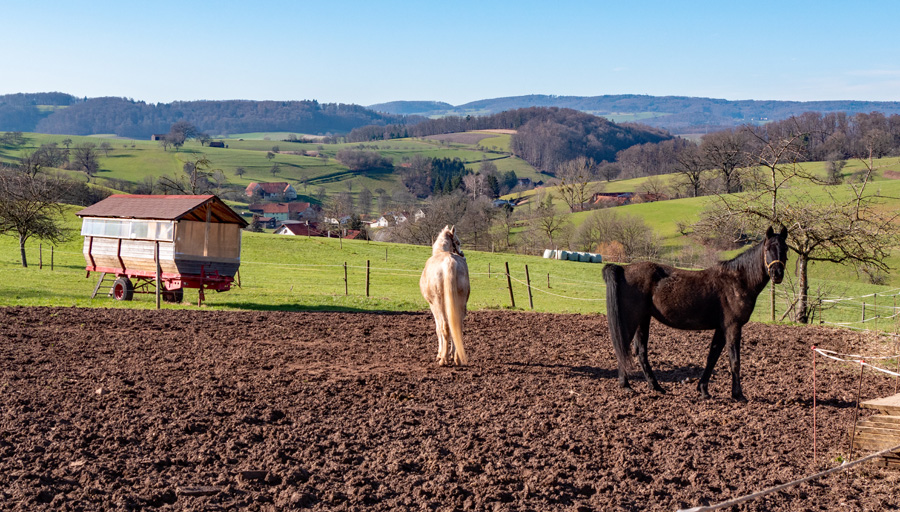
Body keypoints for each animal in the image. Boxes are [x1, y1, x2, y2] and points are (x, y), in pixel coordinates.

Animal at [420, 226, 472, 366]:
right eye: (458, 242)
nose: (463, 255)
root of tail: (449, 261)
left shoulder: (432, 306)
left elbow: (438, 329)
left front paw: (439, 354)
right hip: (459, 303)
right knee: (456, 326)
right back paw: (457, 358)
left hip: (438, 304)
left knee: (444, 327)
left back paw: (443, 359)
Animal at [604, 227, 788, 400]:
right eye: (768, 248)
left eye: (786, 249)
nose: (777, 274)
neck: (737, 281)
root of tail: (623, 269)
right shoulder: (733, 327)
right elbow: (734, 361)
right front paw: (738, 394)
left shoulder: (721, 328)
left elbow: (712, 357)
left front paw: (703, 389)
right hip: (631, 319)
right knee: (623, 348)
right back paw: (626, 385)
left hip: (643, 319)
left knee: (641, 352)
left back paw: (655, 386)